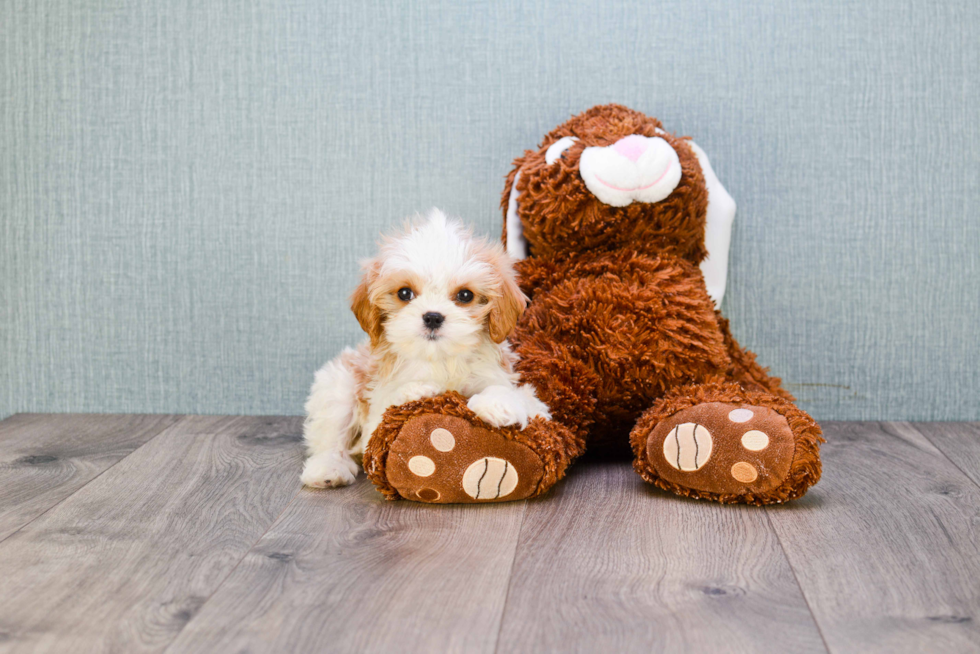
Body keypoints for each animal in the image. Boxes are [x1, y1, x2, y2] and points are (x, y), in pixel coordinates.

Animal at [300, 208, 552, 490]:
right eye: (404, 293)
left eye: (465, 295)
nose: (432, 317)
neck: (440, 360)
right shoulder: (373, 418)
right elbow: (387, 407)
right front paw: (417, 390)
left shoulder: (527, 398)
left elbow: (516, 395)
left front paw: (497, 403)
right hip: (337, 387)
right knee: (330, 438)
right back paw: (327, 470)